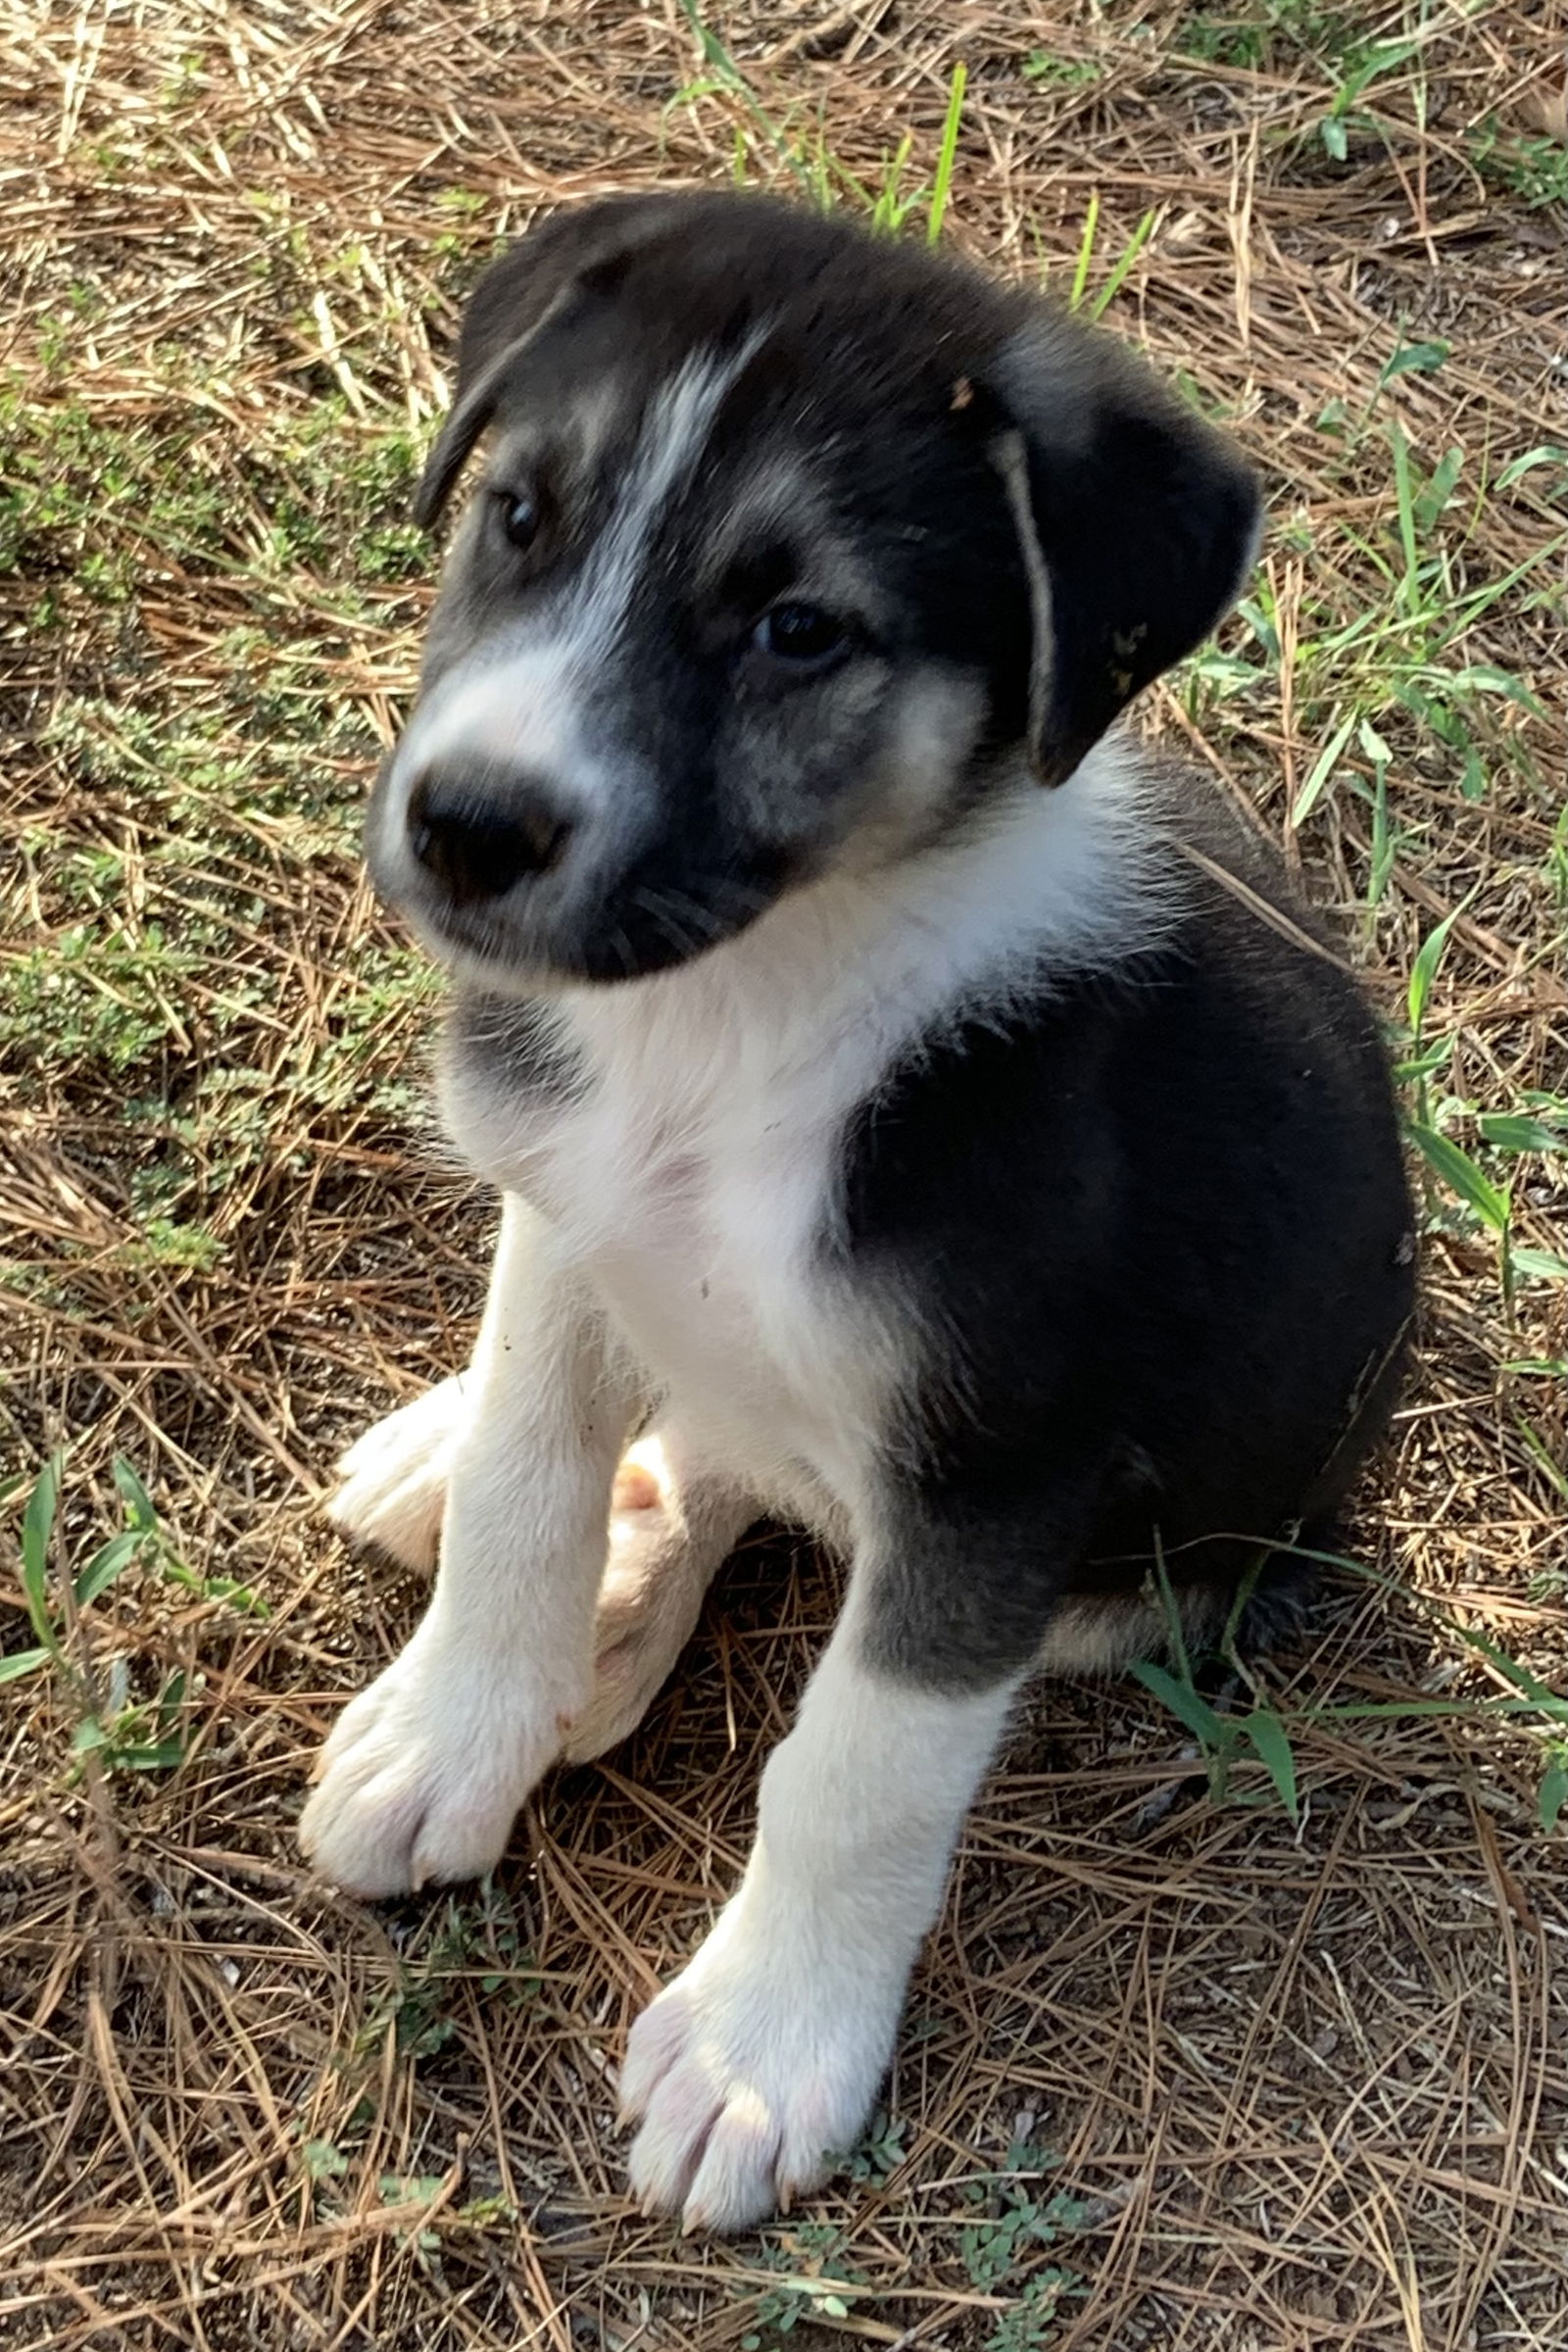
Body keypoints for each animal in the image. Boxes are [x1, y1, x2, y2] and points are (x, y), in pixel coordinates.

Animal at [301, 192, 1419, 2230]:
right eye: (523, 518)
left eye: (799, 628)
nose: (472, 827)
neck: (742, 1012)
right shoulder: (566, 1195)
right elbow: (527, 1475)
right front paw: (455, 1728)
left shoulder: (1000, 1468)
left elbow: (857, 1769)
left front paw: (764, 2048)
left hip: (1173, 1564)